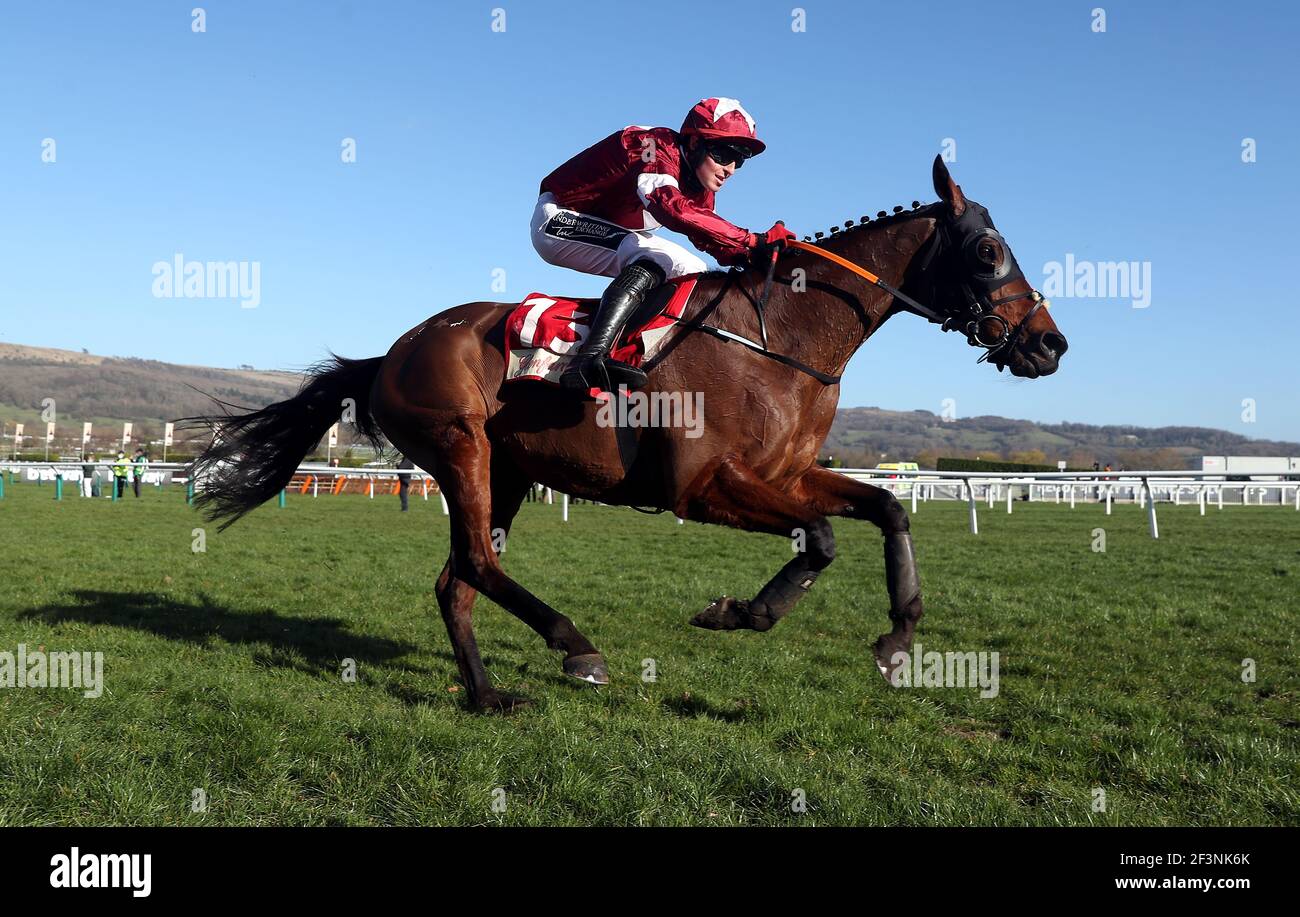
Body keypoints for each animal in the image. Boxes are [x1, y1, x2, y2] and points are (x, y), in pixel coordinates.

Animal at [185, 157, 1066, 712]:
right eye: (990, 251)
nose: (1049, 344)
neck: (779, 336)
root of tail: (392, 351)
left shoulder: (785, 474)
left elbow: (887, 509)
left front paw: (896, 640)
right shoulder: (702, 487)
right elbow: (818, 538)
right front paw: (740, 611)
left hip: (505, 469)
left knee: (458, 578)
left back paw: (487, 694)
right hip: (461, 446)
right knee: (475, 563)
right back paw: (576, 645)